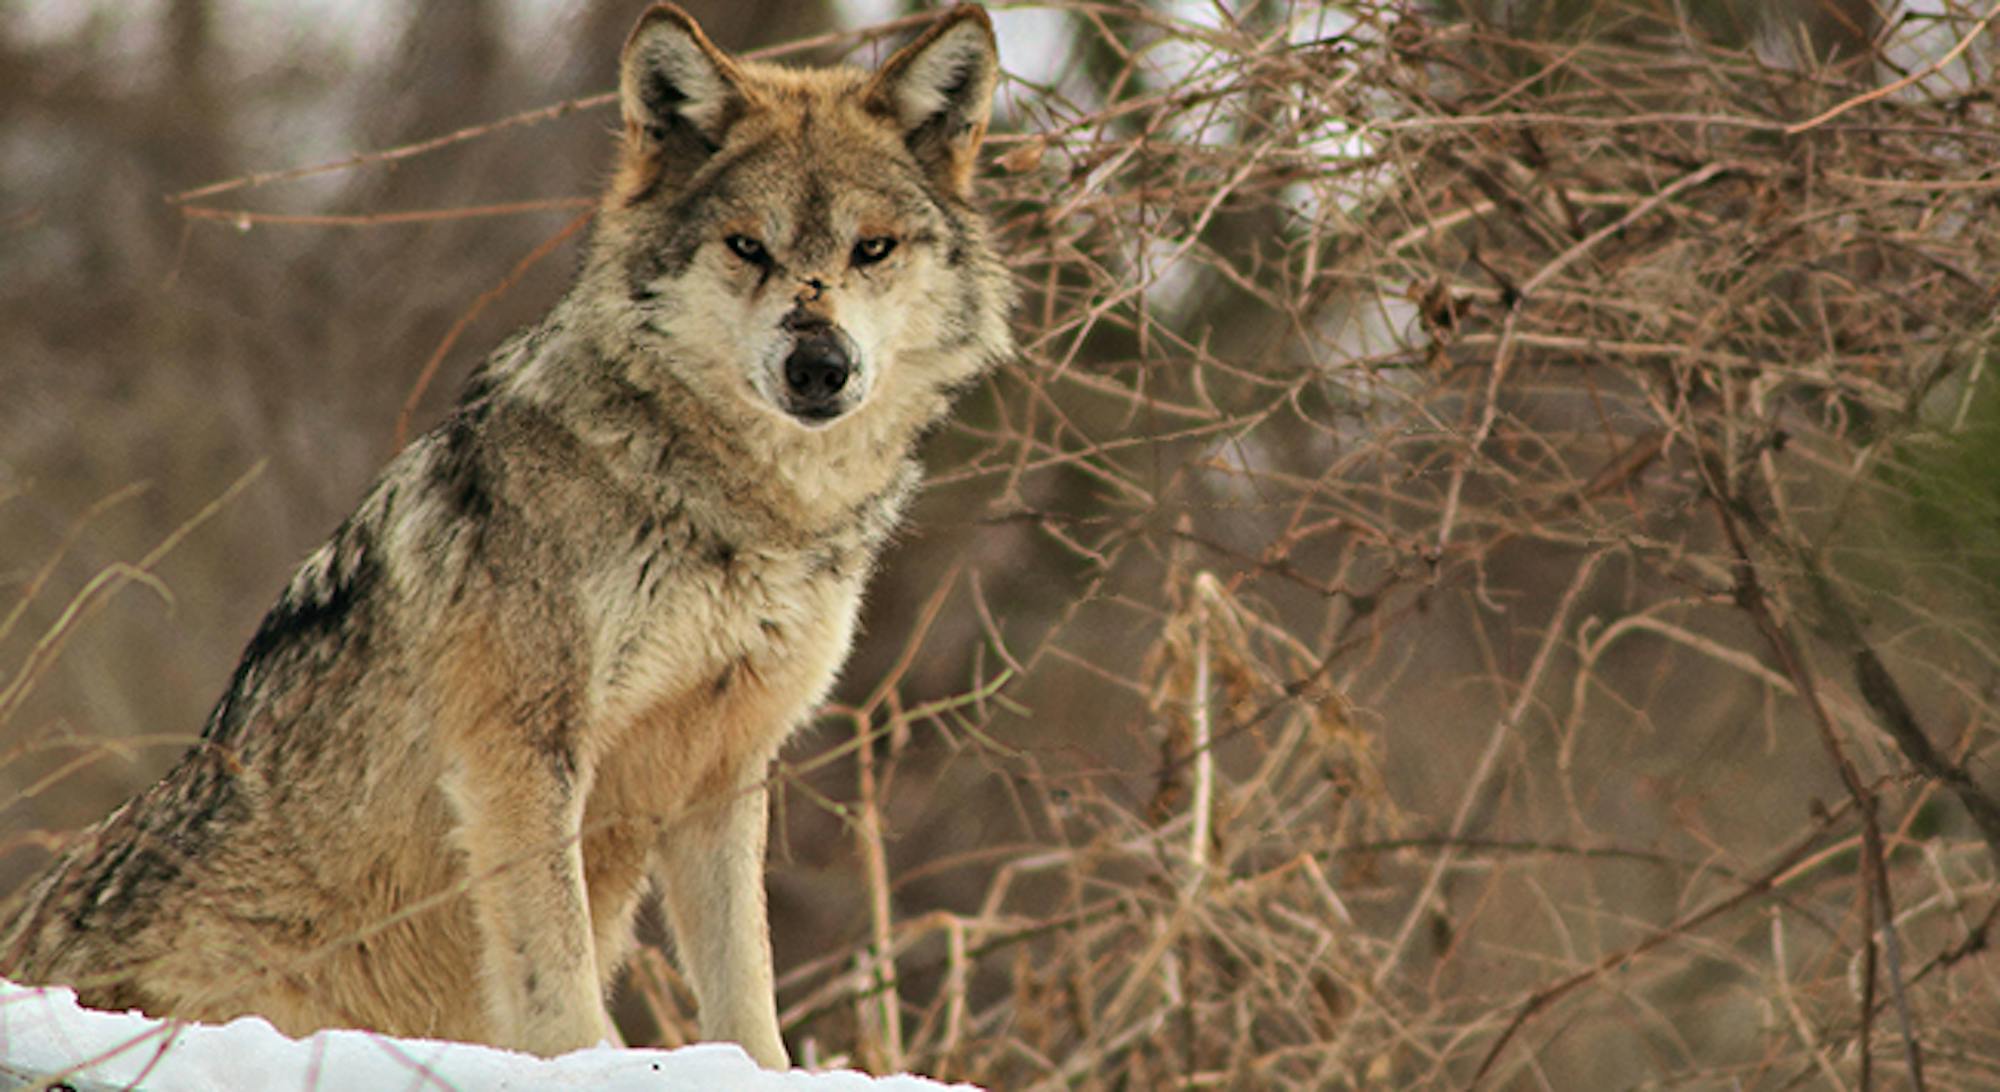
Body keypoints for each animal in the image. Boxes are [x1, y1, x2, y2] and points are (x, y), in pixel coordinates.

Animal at [0, 4, 1008, 1064]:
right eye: (747, 247)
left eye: (872, 249)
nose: (819, 365)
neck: (741, 513)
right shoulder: (521, 749)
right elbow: (553, 971)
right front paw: (591, 1068)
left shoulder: (725, 770)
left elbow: (748, 988)